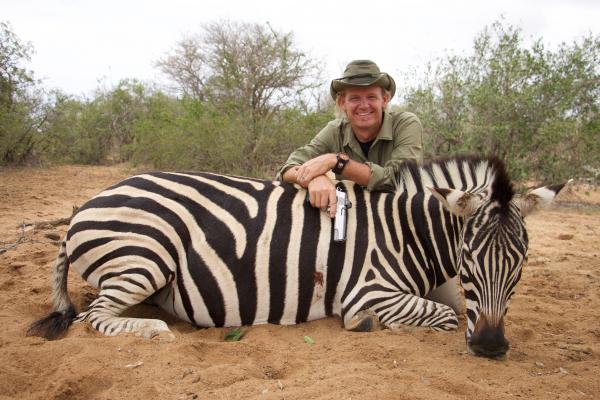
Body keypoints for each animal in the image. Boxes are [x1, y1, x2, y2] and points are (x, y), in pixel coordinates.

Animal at [28, 155, 564, 358]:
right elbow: (445, 316)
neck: (405, 233)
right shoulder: (368, 290)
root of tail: (85, 206)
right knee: (93, 317)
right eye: (469, 261)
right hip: (145, 256)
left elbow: (452, 309)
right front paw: (370, 326)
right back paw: (154, 330)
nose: (492, 347)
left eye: (520, 267)